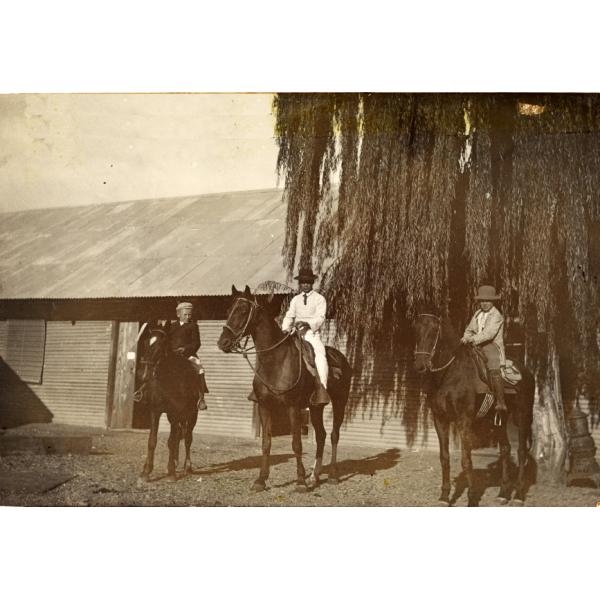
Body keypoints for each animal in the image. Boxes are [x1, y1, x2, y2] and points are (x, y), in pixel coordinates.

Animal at [137, 324, 200, 482]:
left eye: (161, 346)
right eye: (145, 343)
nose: (144, 375)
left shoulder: (176, 413)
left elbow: (172, 441)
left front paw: (171, 473)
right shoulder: (155, 411)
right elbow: (152, 440)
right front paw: (146, 471)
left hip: (192, 415)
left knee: (187, 438)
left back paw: (187, 466)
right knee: (178, 437)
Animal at [218, 286, 354, 492]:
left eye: (242, 311)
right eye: (227, 311)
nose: (222, 343)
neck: (276, 361)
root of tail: (341, 358)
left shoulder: (293, 407)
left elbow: (296, 444)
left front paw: (300, 481)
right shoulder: (265, 406)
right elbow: (266, 443)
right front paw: (261, 480)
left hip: (340, 402)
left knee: (334, 435)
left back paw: (331, 475)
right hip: (316, 407)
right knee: (321, 436)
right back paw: (314, 477)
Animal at [412, 314, 536, 506]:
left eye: (433, 332)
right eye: (415, 331)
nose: (420, 365)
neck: (450, 374)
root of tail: (527, 373)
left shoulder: (464, 421)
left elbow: (466, 460)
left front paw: (471, 498)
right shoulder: (440, 419)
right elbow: (444, 458)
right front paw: (444, 497)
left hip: (522, 416)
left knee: (522, 452)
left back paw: (518, 495)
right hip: (500, 420)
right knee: (505, 449)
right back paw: (503, 493)